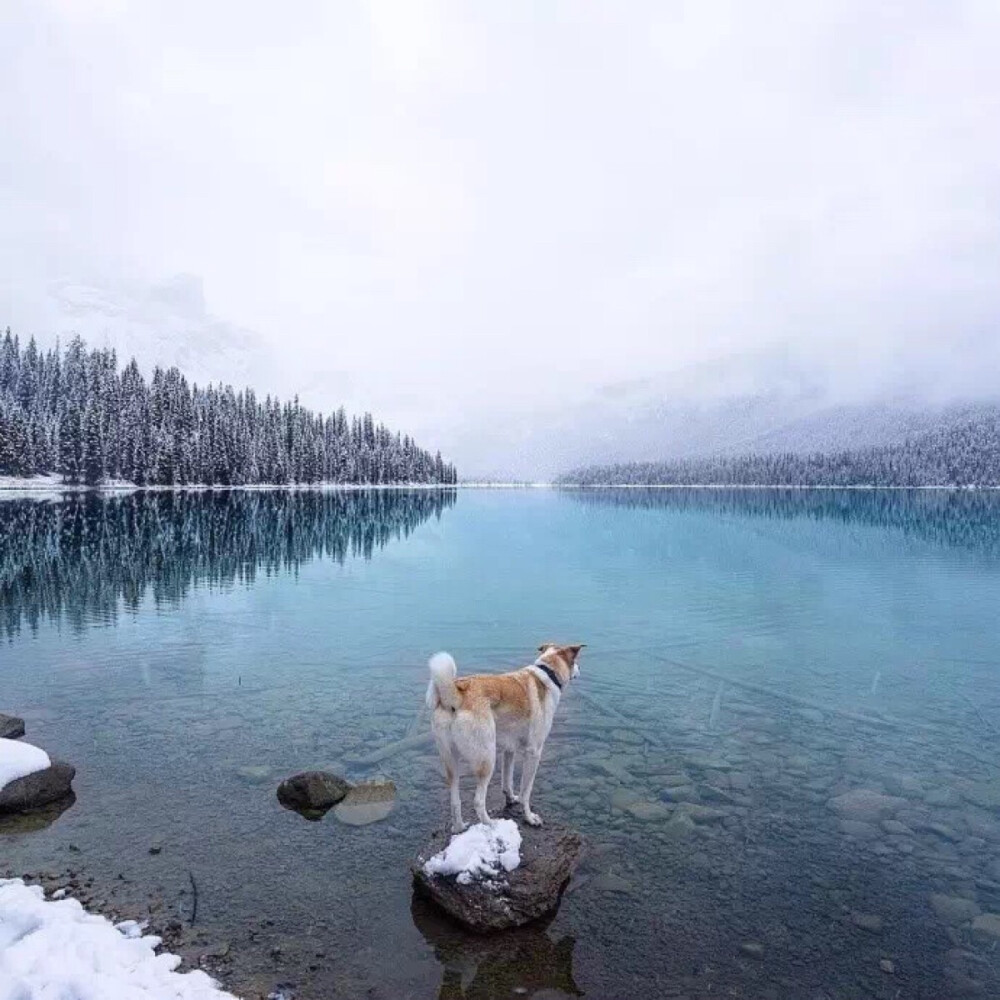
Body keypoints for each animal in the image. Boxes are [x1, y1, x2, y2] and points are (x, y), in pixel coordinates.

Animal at [424, 644, 584, 832]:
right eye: (575, 661)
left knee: (454, 800)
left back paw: (459, 827)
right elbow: (525, 792)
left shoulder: (509, 749)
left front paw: (511, 799)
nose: (580, 669)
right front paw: (529, 817)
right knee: (478, 802)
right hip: (487, 759)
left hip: (451, 762)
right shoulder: (534, 752)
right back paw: (493, 825)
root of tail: (454, 695)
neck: (547, 672)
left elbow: (507, 781)